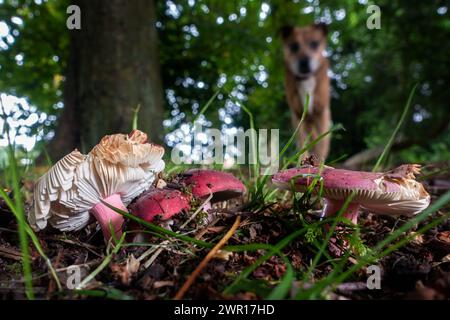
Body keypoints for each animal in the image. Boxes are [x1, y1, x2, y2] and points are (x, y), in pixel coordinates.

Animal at [282, 23, 330, 160]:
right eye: (294, 46)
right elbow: (302, 141)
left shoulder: (321, 113)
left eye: (314, 43)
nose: (304, 61)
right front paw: (303, 160)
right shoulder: (298, 115)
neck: (306, 79)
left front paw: (320, 161)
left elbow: (321, 144)